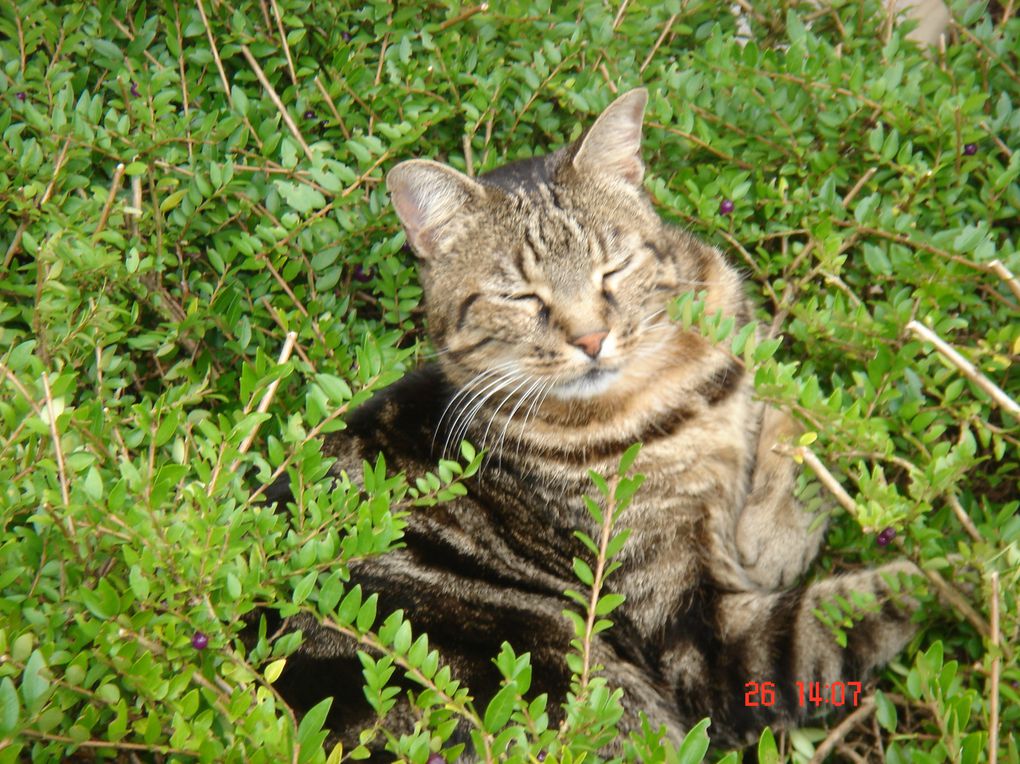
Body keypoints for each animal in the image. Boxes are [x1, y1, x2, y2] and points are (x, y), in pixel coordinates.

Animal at [261, 87, 918, 758]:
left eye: (614, 267)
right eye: (521, 297)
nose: (591, 338)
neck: (661, 396)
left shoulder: (747, 344)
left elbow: (806, 421)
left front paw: (776, 530)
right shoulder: (690, 636)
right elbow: (834, 622)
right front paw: (941, 580)